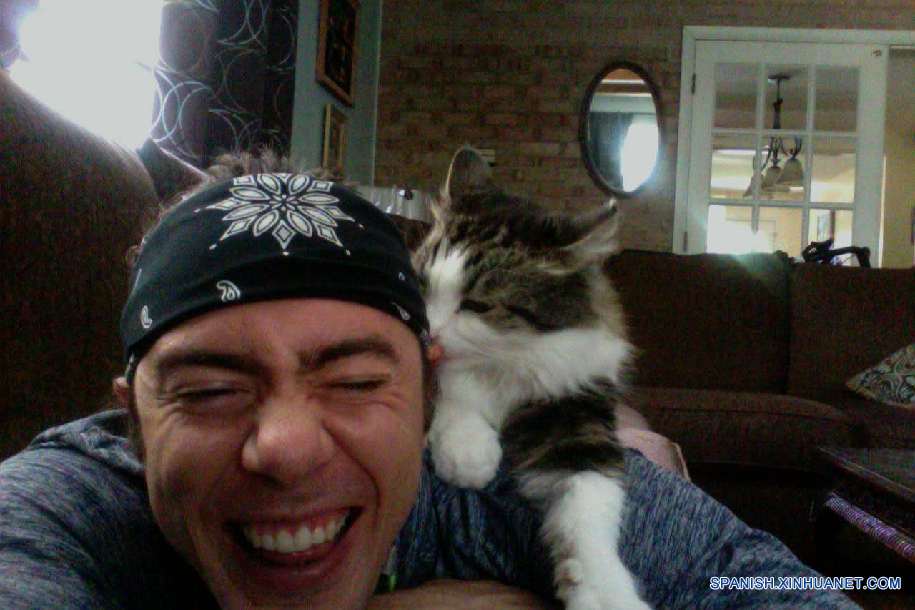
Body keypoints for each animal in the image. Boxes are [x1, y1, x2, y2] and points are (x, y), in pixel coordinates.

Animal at [413, 147, 651, 610]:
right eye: (421, 283)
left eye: (477, 305)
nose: (429, 332)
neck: (510, 359)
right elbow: (451, 389)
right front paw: (468, 456)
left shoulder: (578, 414)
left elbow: (590, 505)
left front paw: (602, 590)